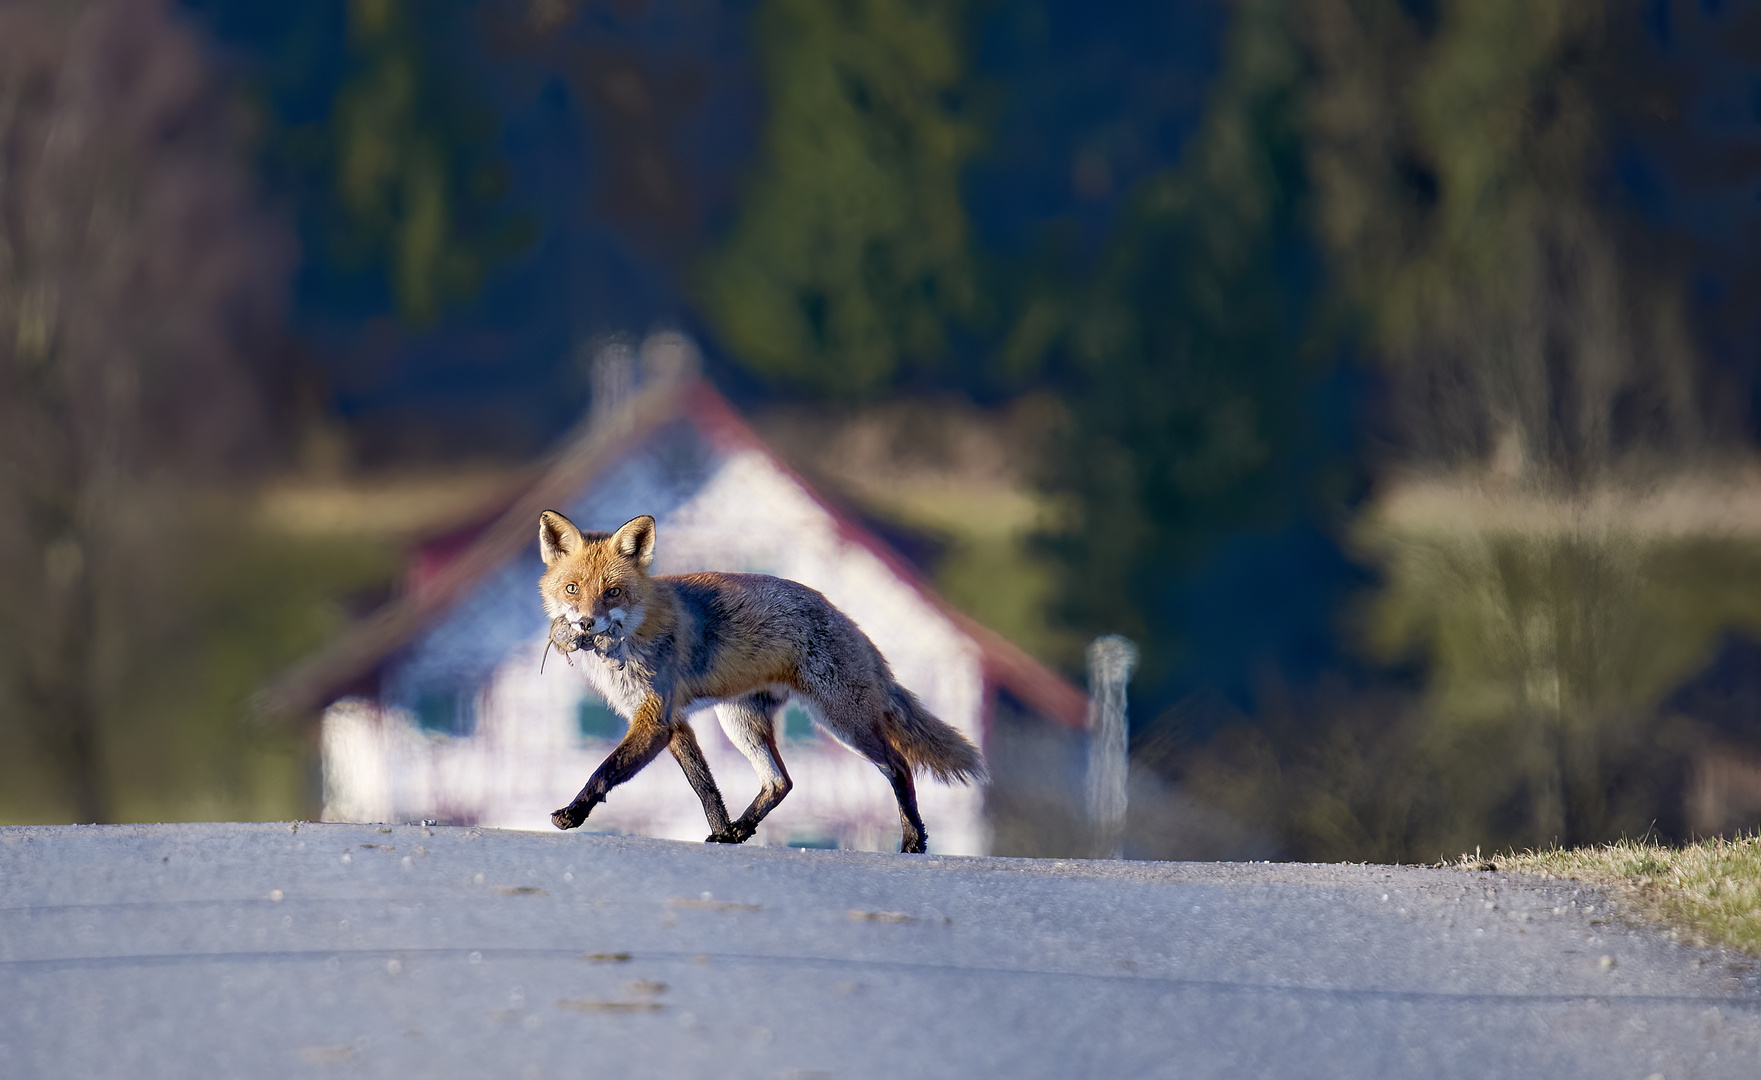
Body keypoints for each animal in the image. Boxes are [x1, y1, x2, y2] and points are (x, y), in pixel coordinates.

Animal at [535, 507, 986, 849]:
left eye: (612, 592)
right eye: (572, 588)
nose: (587, 624)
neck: (631, 638)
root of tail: (845, 618)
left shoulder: (655, 719)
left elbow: (605, 770)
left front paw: (573, 813)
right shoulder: (673, 721)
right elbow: (705, 787)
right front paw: (721, 831)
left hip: (842, 723)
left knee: (899, 765)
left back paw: (913, 840)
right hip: (741, 721)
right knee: (780, 782)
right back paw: (740, 829)